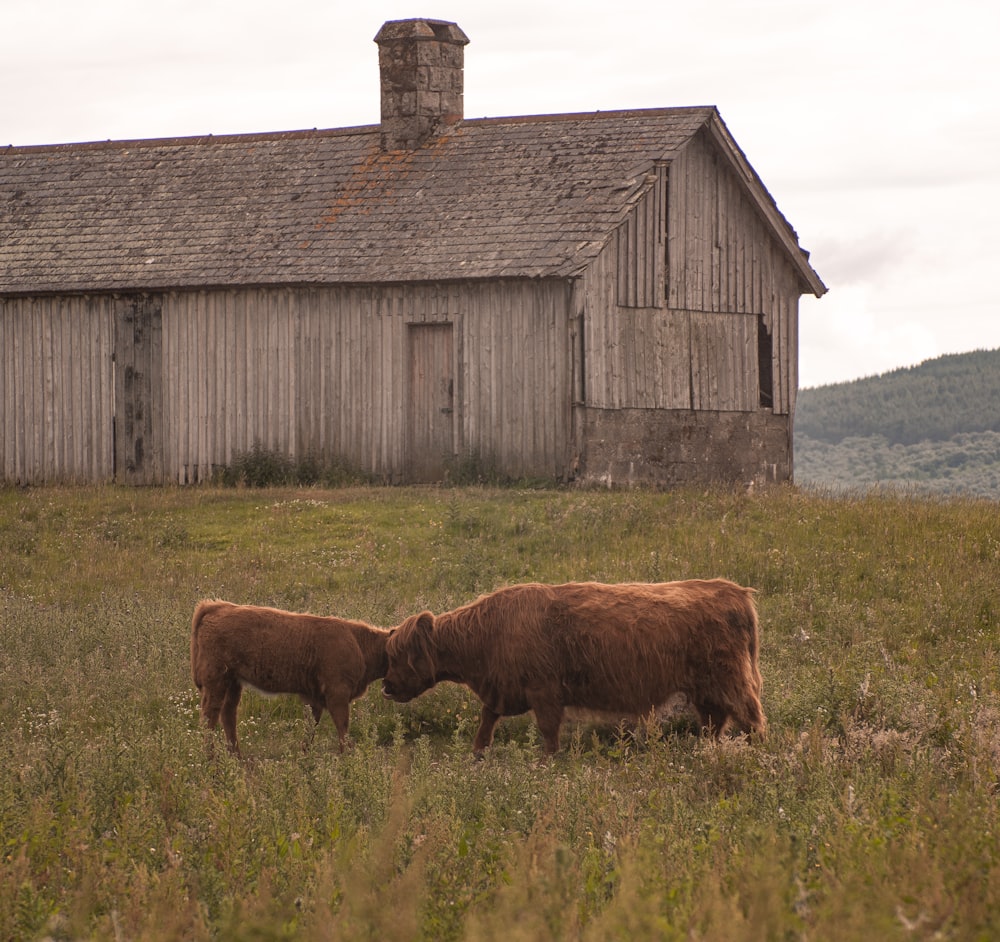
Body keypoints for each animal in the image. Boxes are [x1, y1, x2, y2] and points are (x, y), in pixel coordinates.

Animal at [189, 604, 392, 760]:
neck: (358, 642)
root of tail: (216, 607)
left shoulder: (314, 697)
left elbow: (311, 726)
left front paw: (305, 755)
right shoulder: (337, 694)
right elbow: (342, 725)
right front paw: (347, 756)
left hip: (232, 683)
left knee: (228, 714)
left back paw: (236, 756)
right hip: (216, 681)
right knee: (210, 715)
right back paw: (210, 757)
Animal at [382, 580, 764, 756]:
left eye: (399, 657)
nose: (385, 686)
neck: (489, 633)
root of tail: (733, 591)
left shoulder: (544, 692)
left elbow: (549, 731)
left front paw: (547, 762)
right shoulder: (502, 690)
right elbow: (486, 721)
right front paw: (477, 754)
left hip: (732, 681)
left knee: (751, 717)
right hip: (705, 689)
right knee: (715, 721)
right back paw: (707, 751)